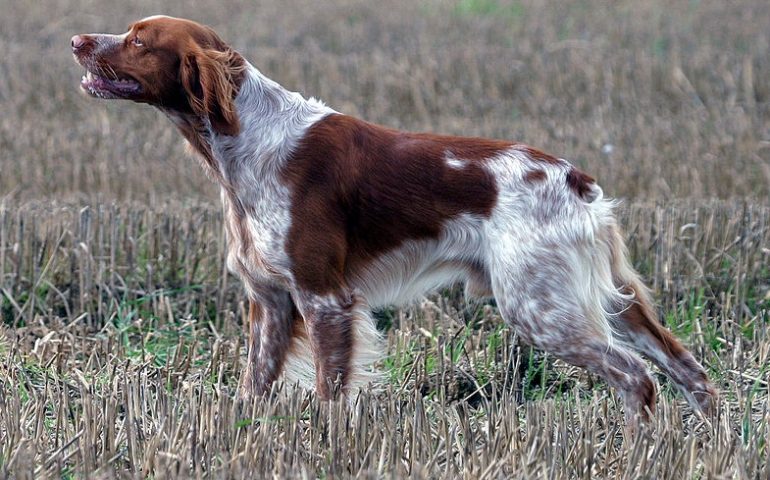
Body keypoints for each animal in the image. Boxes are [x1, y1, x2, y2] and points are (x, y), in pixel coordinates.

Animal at [72, 15, 712, 428]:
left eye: (137, 39)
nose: (77, 39)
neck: (246, 140)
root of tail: (577, 181)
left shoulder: (325, 298)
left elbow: (331, 393)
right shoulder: (271, 302)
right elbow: (255, 385)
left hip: (539, 307)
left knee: (637, 377)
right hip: (609, 301)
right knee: (688, 369)